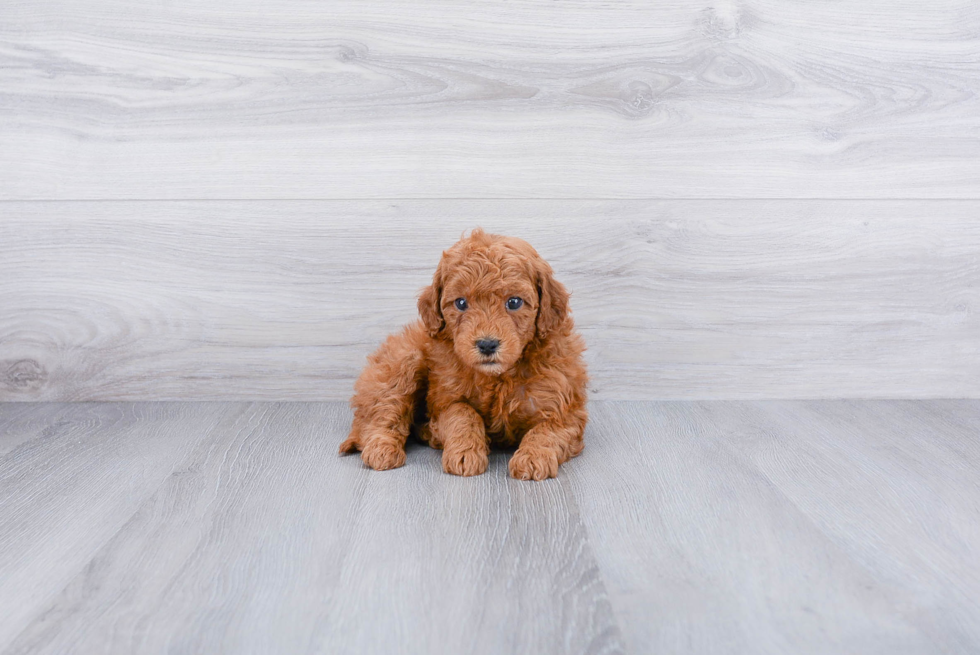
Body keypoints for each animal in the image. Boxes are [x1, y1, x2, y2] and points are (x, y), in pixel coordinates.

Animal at [340, 228, 584, 480]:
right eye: (461, 303)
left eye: (514, 302)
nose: (487, 344)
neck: (498, 378)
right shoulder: (446, 399)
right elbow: (463, 414)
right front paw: (465, 453)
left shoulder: (563, 408)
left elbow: (548, 430)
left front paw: (534, 457)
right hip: (402, 363)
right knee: (381, 413)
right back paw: (382, 449)